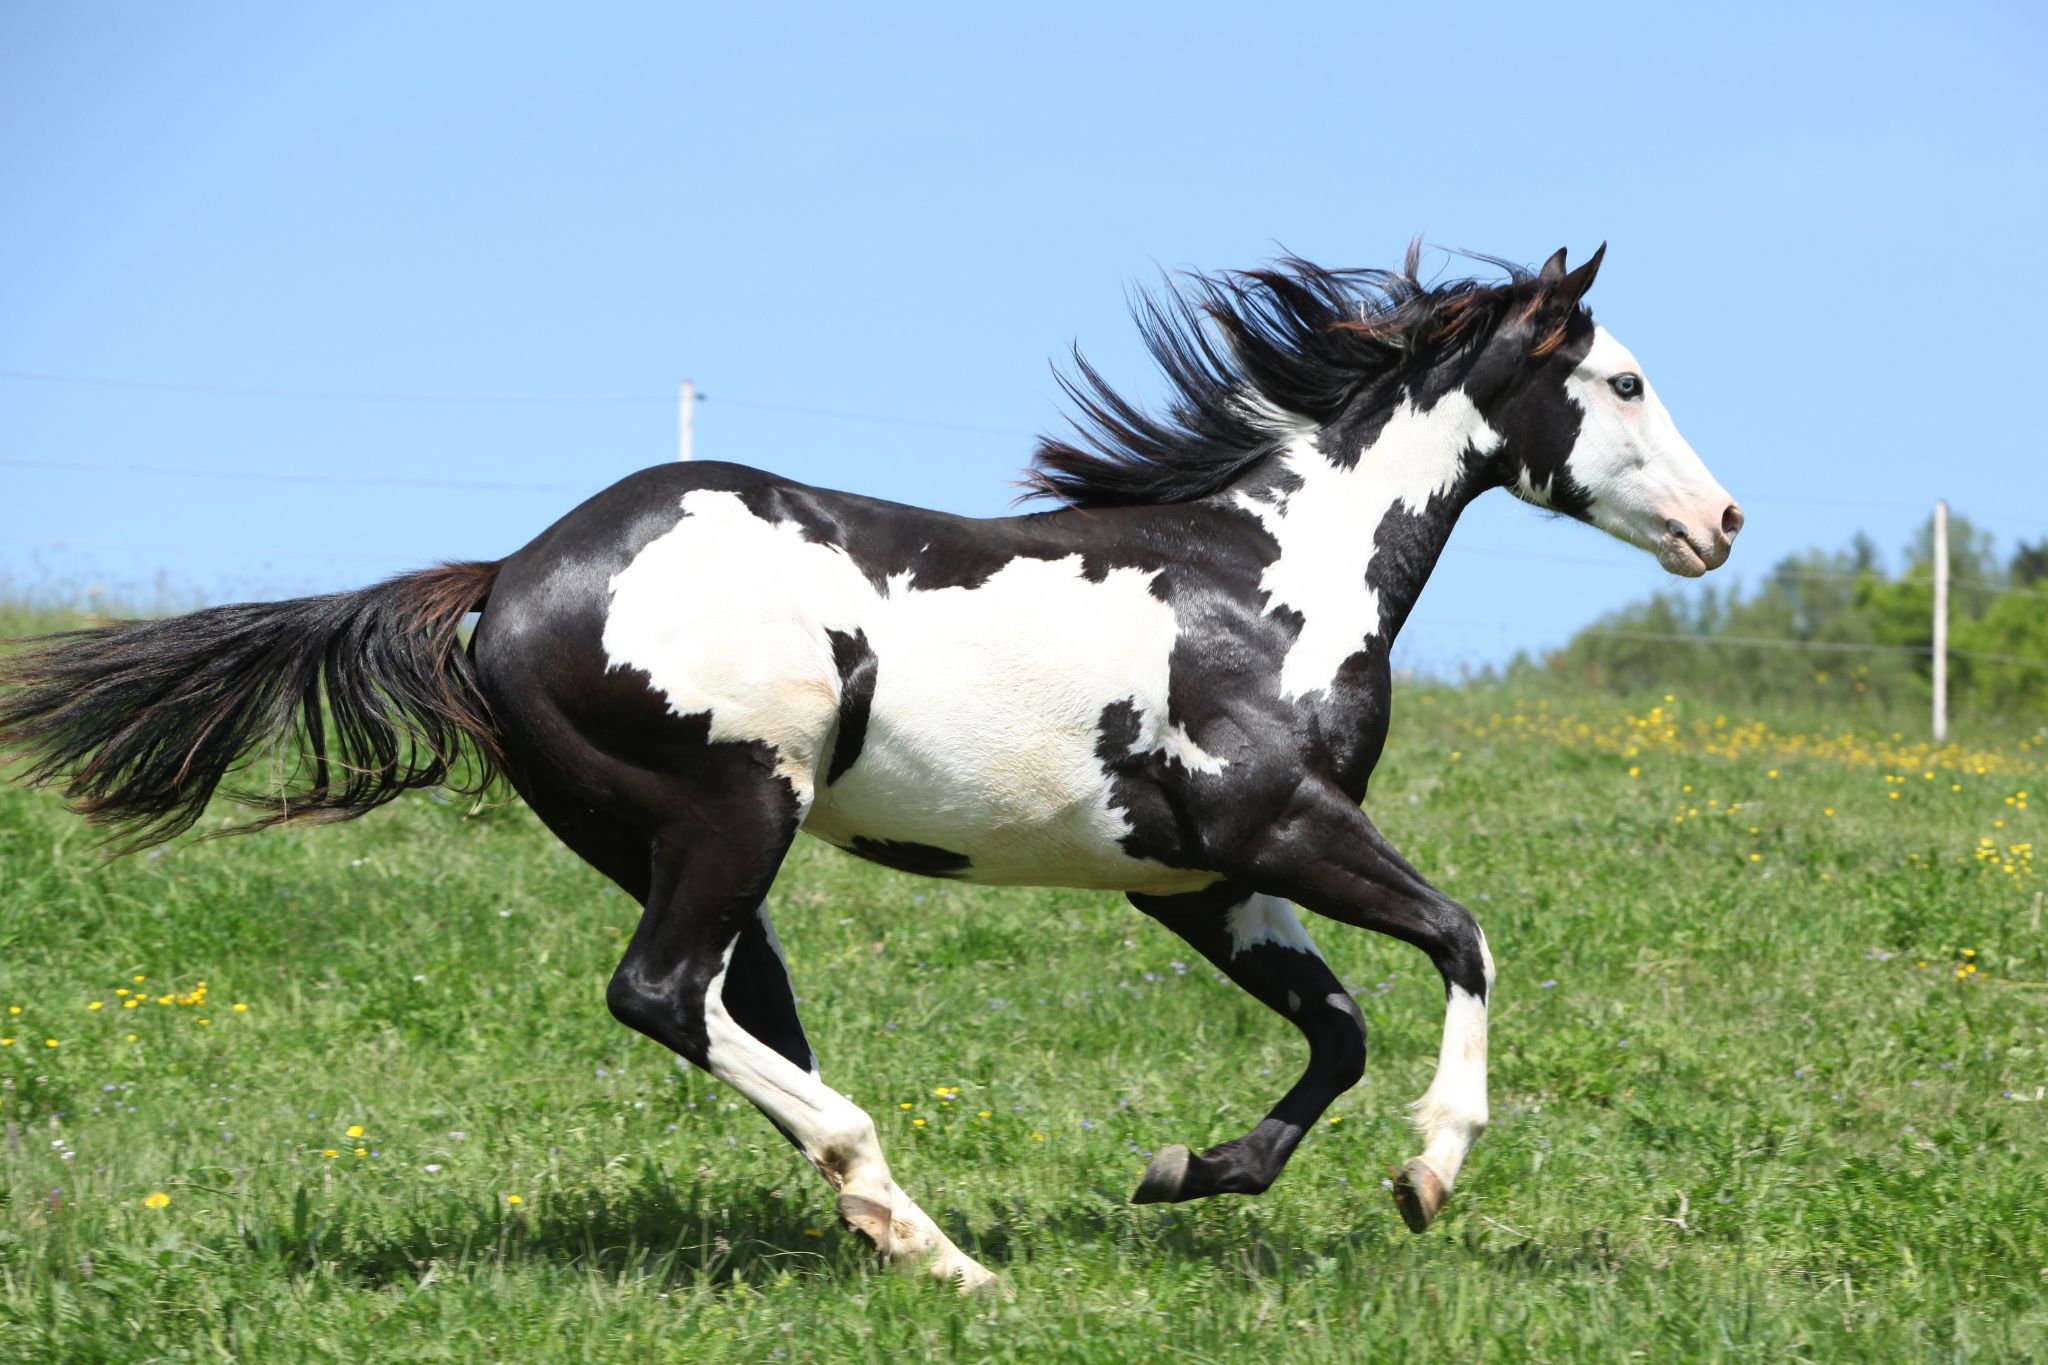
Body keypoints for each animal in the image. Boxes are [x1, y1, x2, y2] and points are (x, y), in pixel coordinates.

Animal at [0, 244, 1741, 1290]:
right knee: (661, 994)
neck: (1266, 581)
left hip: (676, 843)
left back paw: (899, 1228)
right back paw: (921, 1229)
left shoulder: (1197, 876)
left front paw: (1192, 1171)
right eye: (1625, 381)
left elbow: (1339, 1028)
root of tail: (511, 576)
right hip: (735, 811)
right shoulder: (1276, 823)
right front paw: (1430, 1175)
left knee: (724, 1012)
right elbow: (1462, 942)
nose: (1723, 524)